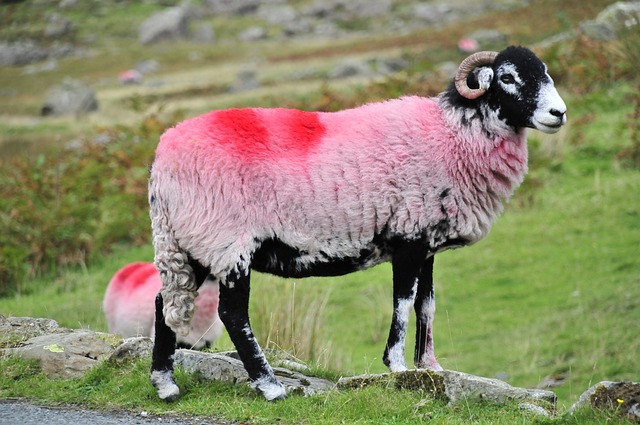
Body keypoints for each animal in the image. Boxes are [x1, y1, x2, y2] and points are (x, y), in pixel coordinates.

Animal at [146, 46, 564, 400]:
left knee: (164, 300)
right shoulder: (408, 237)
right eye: (507, 77)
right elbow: (404, 302)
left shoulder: (428, 242)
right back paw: (269, 385)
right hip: (227, 241)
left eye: (544, 72)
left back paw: (165, 385)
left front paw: (430, 367)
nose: (558, 114)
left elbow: (426, 304)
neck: (453, 133)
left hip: (193, 242)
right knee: (233, 314)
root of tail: (161, 160)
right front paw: (397, 366)